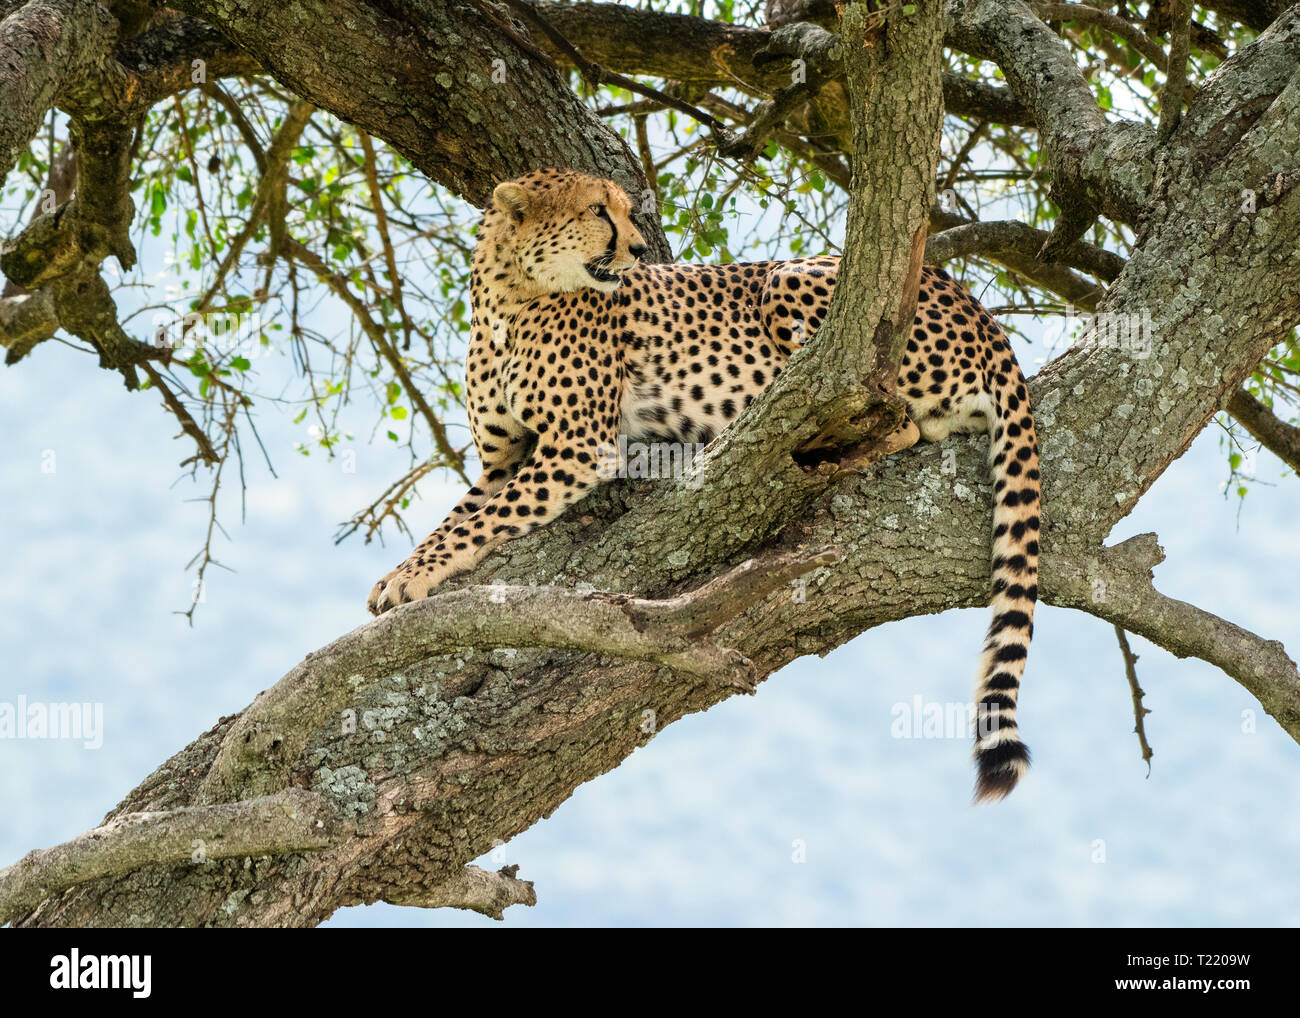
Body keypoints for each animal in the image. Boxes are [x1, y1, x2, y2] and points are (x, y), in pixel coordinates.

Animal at [371, 169, 1040, 806]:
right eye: (597, 210)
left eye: (622, 210)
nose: (640, 249)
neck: (508, 296)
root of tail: (978, 308)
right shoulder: (501, 461)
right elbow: (455, 519)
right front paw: (400, 574)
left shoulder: (578, 446)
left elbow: (473, 525)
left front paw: (408, 580)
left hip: (792, 282)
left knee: (886, 411)